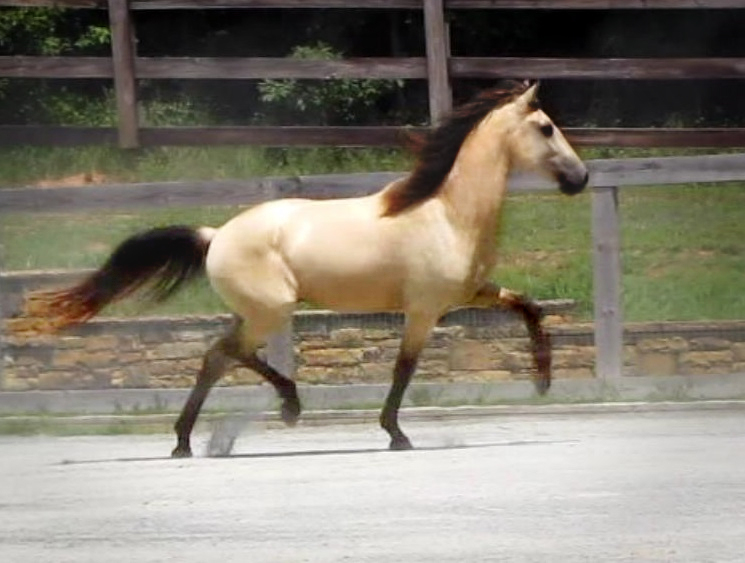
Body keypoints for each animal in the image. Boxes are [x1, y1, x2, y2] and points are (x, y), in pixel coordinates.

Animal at [20, 80, 588, 458]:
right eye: (545, 127)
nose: (581, 178)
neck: (448, 212)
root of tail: (215, 235)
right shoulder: (425, 310)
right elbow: (403, 369)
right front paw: (396, 434)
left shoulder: (472, 293)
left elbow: (530, 307)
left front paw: (542, 381)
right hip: (272, 311)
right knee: (227, 353)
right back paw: (285, 408)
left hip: (255, 313)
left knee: (214, 357)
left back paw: (187, 440)